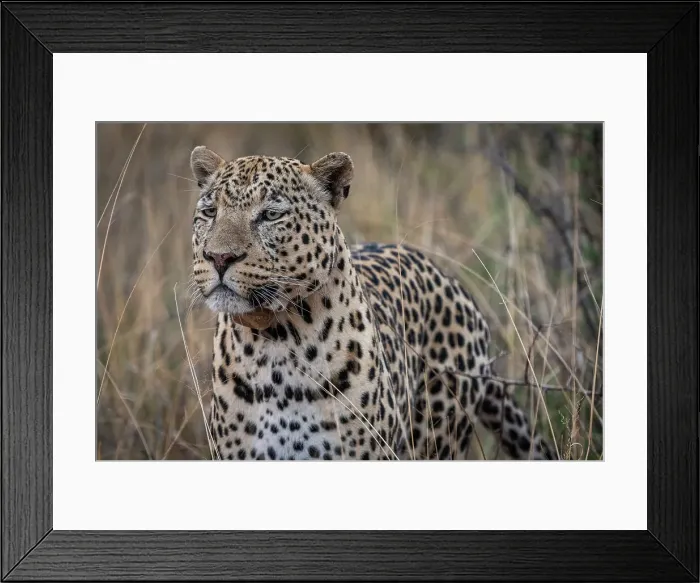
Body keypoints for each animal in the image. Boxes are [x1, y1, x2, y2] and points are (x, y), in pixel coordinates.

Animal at [189, 145, 556, 461]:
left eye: (271, 215)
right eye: (209, 212)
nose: (218, 257)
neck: (274, 345)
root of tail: (454, 283)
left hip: (437, 438)